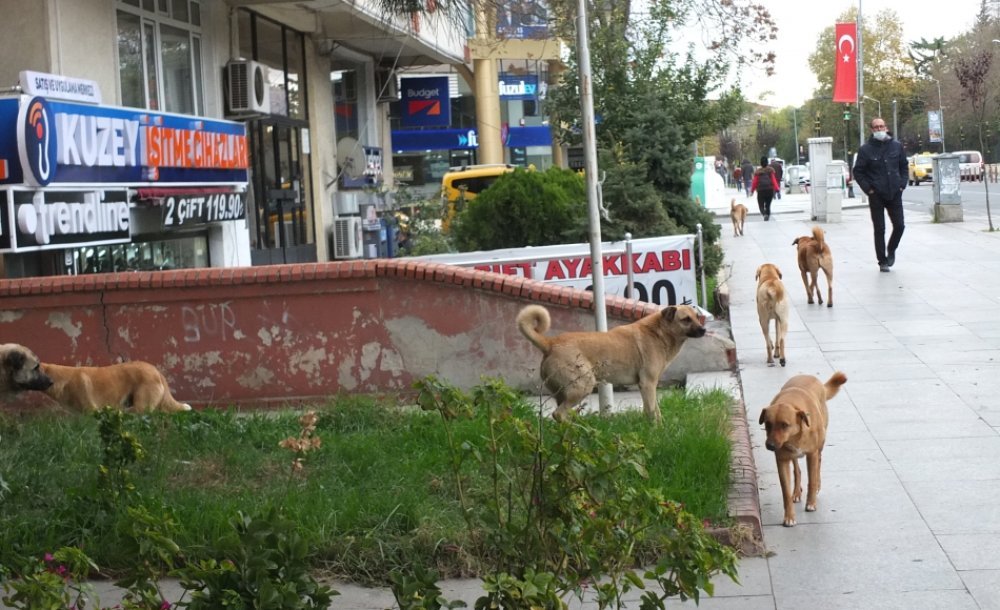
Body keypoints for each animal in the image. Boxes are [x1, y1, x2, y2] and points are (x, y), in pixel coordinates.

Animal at [520, 302, 708, 422]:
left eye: (697, 317)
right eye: (686, 319)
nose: (704, 330)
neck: (659, 332)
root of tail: (550, 343)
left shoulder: (650, 385)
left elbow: (657, 411)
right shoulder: (647, 384)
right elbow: (651, 412)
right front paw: (654, 431)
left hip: (563, 392)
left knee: (561, 413)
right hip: (583, 386)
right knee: (558, 414)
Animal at [760, 370, 848, 528]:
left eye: (784, 425)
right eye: (768, 424)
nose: (770, 445)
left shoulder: (811, 454)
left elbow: (812, 480)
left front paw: (811, 503)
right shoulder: (782, 460)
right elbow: (785, 492)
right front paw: (789, 516)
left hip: (821, 443)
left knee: (819, 463)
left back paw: (817, 484)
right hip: (793, 456)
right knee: (797, 470)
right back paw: (796, 492)